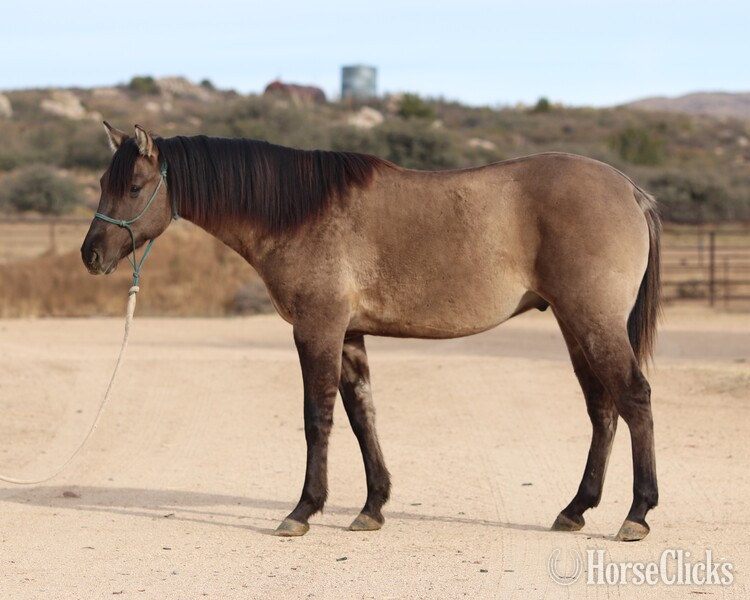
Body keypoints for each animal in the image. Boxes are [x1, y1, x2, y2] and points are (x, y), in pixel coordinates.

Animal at [82, 122, 661, 541]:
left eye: (133, 187)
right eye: (104, 184)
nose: (91, 255)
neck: (299, 212)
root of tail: (630, 190)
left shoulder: (317, 329)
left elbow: (318, 419)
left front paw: (303, 510)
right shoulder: (349, 335)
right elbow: (363, 417)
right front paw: (372, 508)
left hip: (593, 321)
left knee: (634, 398)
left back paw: (637, 514)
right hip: (573, 324)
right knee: (603, 410)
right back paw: (575, 509)